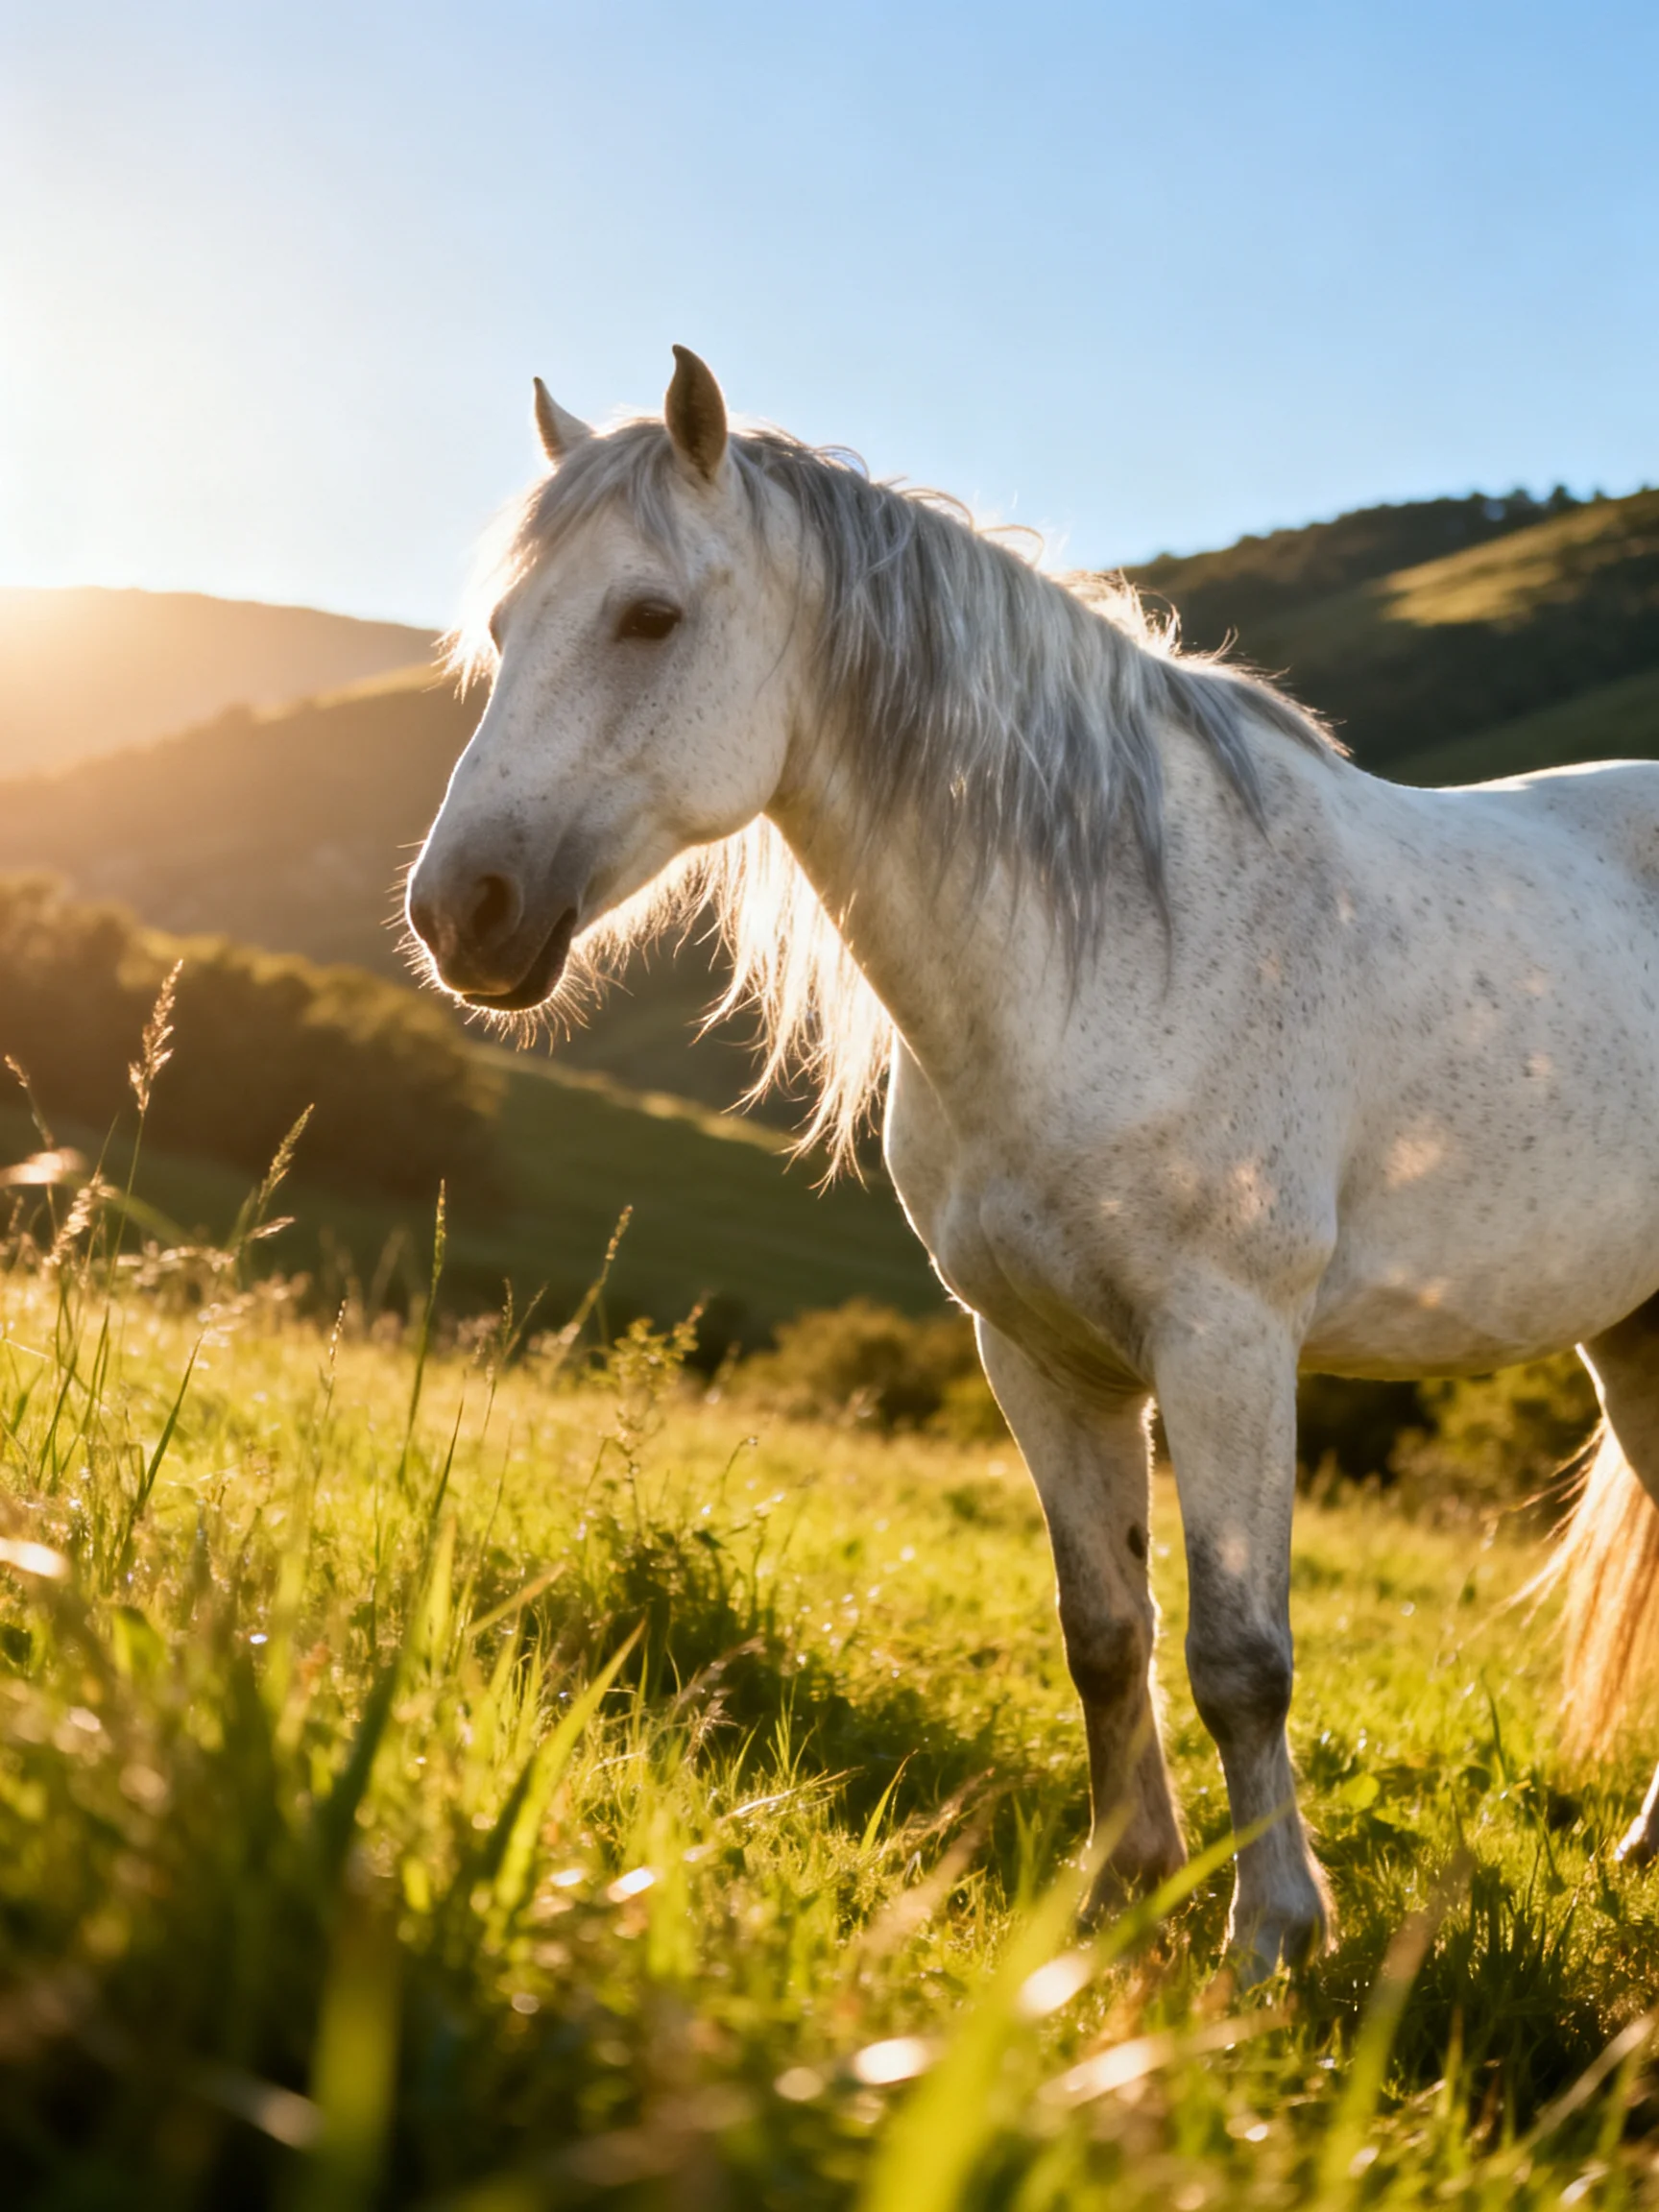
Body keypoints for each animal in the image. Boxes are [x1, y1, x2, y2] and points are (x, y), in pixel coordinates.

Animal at [406, 346, 1659, 1974]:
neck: (1119, 944)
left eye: (649, 617)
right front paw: (1122, 1887)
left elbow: (1242, 1655)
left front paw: (1272, 1934)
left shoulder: (1227, 1343)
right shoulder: (1038, 1350)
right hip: (1635, 1341)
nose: (460, 913)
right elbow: (1106, 1630)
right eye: (505, 630)